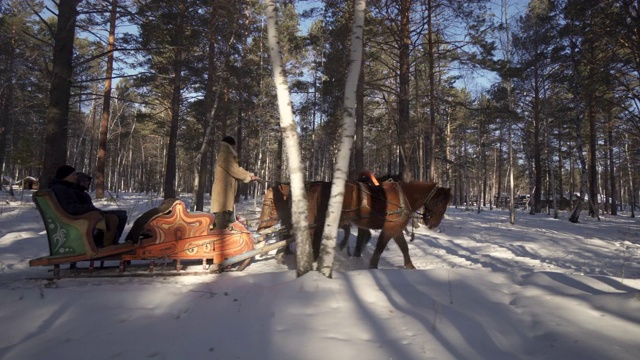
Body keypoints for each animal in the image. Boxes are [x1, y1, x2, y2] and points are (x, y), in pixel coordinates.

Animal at [255, 179, 450, 268]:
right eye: (440, 202)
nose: (433, 224)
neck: (402, 197)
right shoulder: (389, 228)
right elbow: (380, 247)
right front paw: (372, 265)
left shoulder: (395, 228)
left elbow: (404, 247)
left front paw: (410, 266)